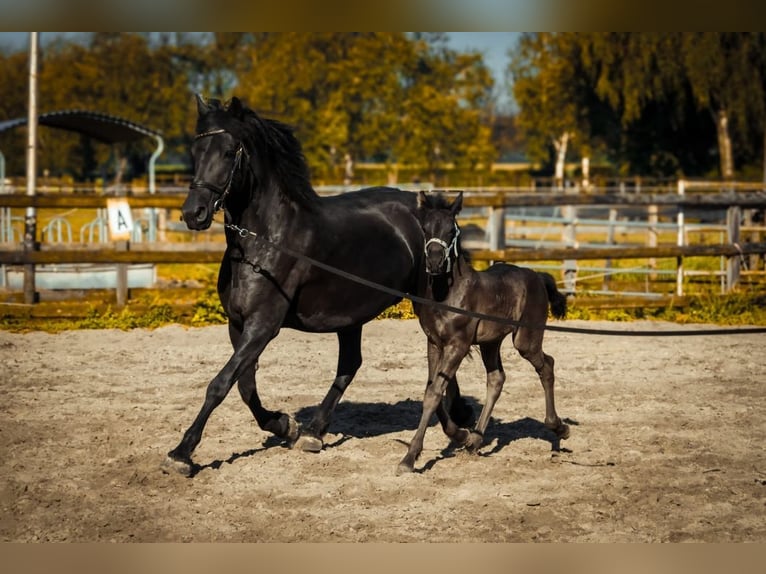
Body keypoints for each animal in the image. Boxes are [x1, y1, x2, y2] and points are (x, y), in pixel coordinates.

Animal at [164, 98, 468, 476]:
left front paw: (182, 453)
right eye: (196, 150)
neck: (265, 240)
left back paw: (459, 430)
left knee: (438, 368)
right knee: (352, 364)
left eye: (228, 151)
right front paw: (285, 426)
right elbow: (245, 386)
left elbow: (219, 385)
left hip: (426, 302)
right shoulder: (238, 326)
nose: (194, 213)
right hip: (351, 316)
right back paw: (313, 432)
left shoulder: (263, 326)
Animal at [402, 194, 568, 476]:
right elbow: (432, 391)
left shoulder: (457, 344)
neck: (447, 294)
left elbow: (434, 393)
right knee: (496, 378)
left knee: (547, 365)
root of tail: (537, 275)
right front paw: (461, 435)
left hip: (526, 340)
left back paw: (559, 428)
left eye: (452, 230)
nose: (434, 262)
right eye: (425, 229)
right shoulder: (434, 343)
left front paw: (409, 458)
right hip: (491, 342)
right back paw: (476, 439)